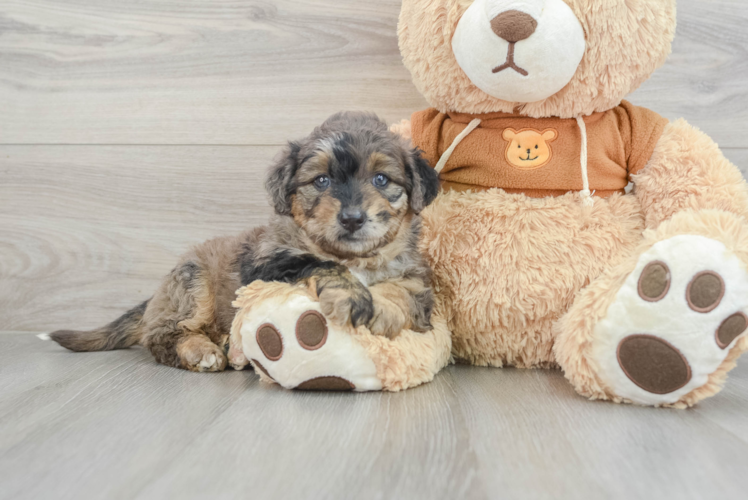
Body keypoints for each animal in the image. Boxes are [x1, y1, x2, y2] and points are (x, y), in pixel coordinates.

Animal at [46, 112, 442, 372]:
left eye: (381, 179)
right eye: (322, 181)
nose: (352, 218)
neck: (355, 257)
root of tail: (156, 297)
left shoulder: (415, 278)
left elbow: (404, 294)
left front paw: (383, 310)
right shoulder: (267, 263)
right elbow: (319, 263)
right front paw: (352, 295)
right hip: (191, 284)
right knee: (161, 336)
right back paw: (201, 351)